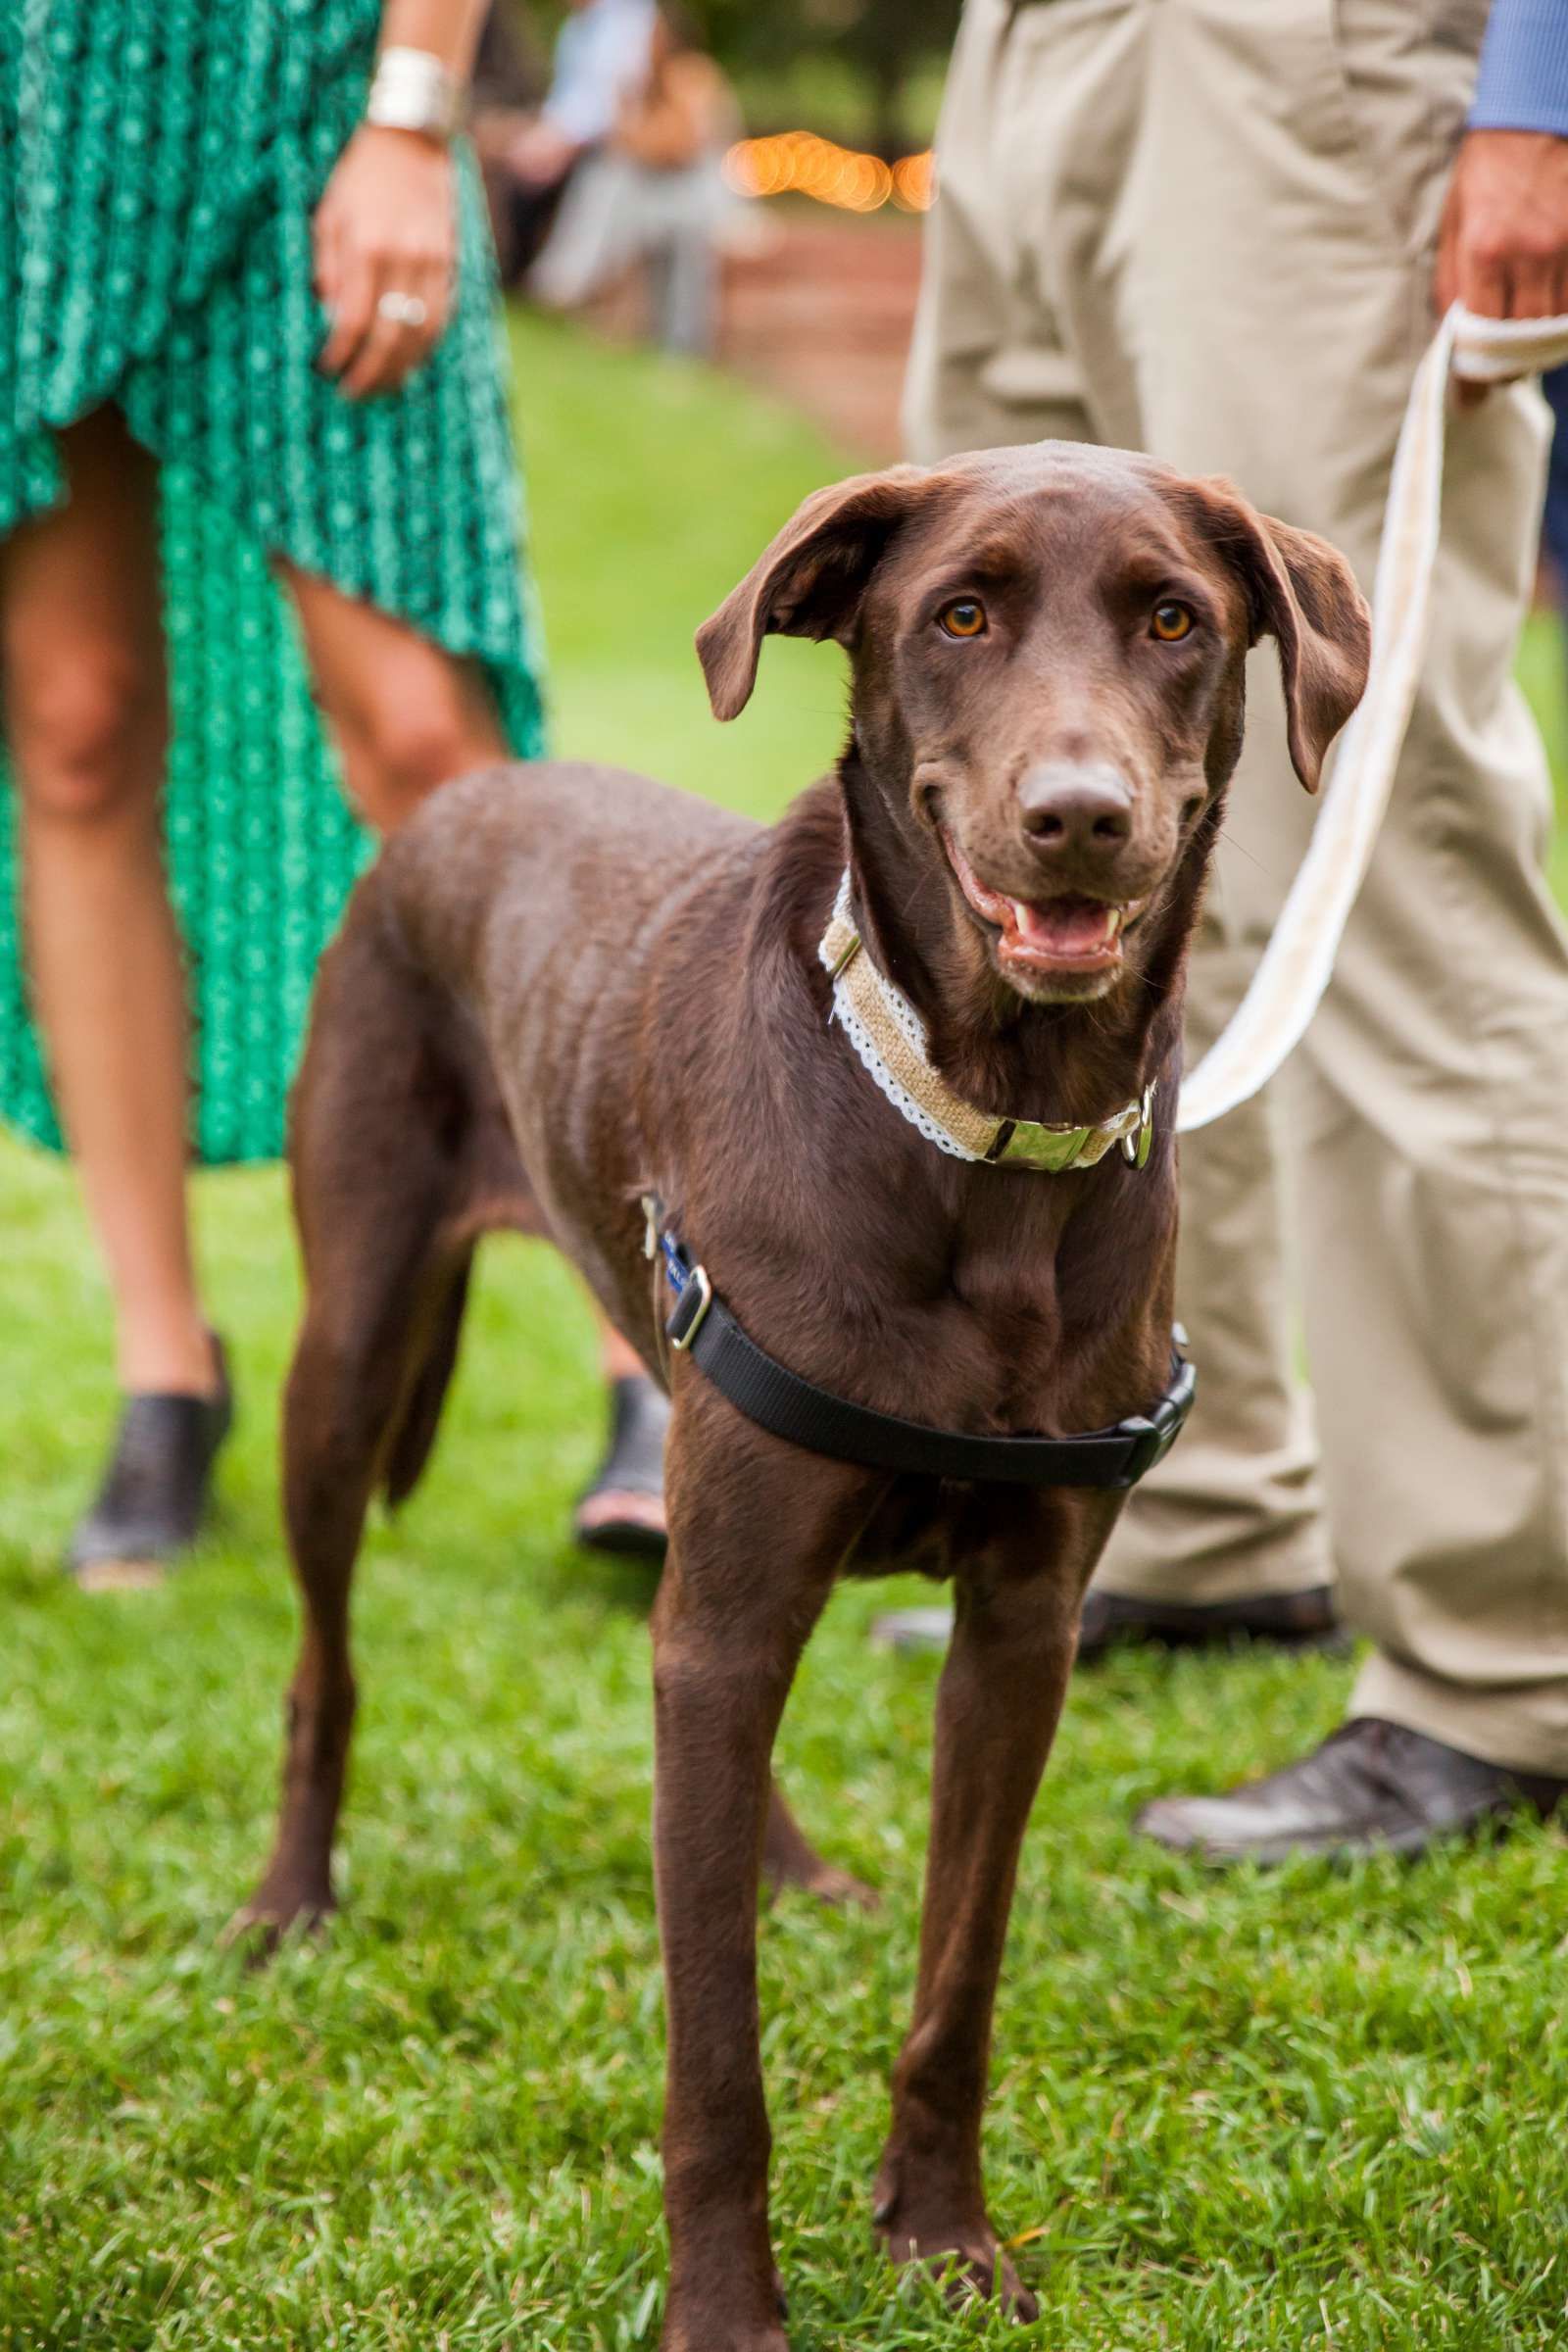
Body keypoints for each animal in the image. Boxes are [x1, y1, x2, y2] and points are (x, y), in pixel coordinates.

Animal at [239, 444, 1363, 2352]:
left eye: (1173, 621)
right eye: (961, 614)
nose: (1079, 815)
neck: (984, 1130)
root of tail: (461, 802)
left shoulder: (1022, 1629)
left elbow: (956, 1983)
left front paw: (943, 2238)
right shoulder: (748, 1588)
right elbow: (717, 2062)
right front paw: (726, 2314)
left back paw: (791, 1870)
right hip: (352, 1350)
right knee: (328, 1662)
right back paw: (288, 1905)